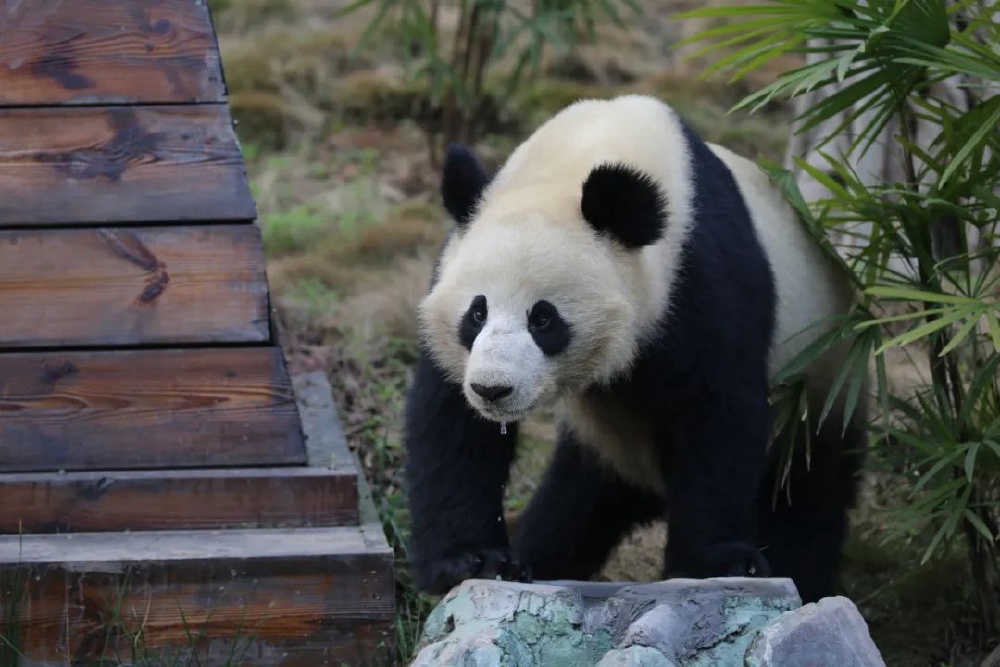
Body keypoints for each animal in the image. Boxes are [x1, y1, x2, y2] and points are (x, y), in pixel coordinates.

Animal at [402, 94, 872, 604]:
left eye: (543, 319)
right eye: (477, 313)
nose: (493, 389)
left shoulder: (702, 276)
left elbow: (717, 413)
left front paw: (713, 564)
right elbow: (453, 425)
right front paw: (476, 560)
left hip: (821, 391)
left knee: (806, 498)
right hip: (603, 445)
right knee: (575, 505)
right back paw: (539, 559)